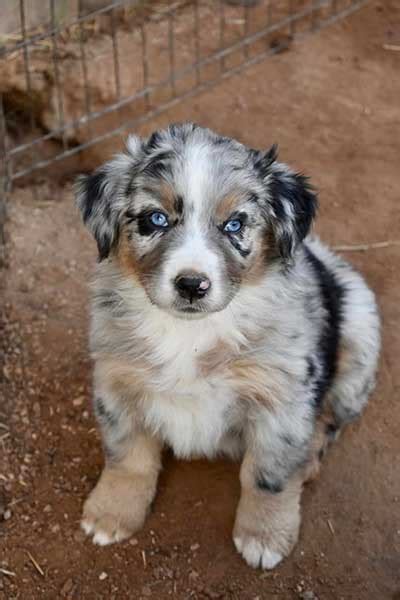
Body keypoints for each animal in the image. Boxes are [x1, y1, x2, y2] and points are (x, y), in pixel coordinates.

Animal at [76, 120, 382, 568]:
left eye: (234, 225)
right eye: (155, 219)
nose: (192, 285)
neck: (190, 333)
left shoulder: (281, 398)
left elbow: (267, 475)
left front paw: (264, 537)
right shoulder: (116, 382)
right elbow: (127, 457)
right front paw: (110, 514)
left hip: (359, 333)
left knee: (331, 418)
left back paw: (308, 458)